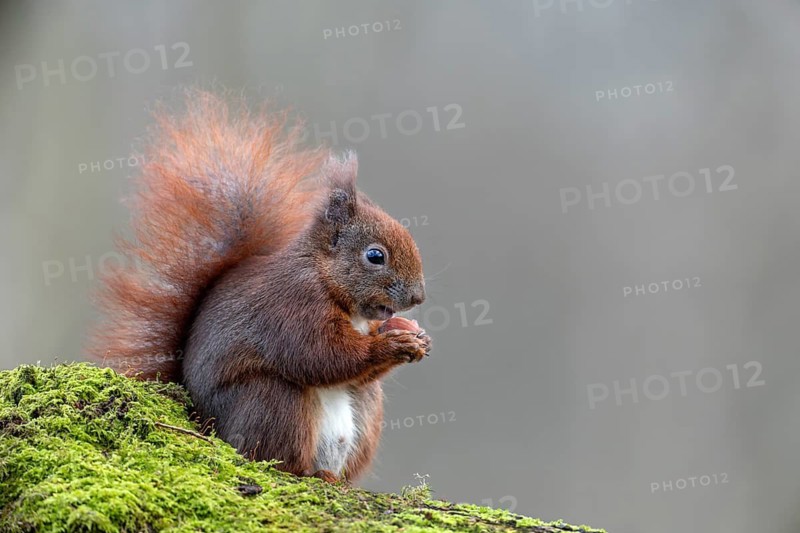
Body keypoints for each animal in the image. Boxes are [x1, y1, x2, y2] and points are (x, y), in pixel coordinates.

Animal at [88, 90, 431, 483]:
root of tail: (206, 424)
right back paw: (310, 473)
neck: (325, 278)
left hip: (365, 408)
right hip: (271, 399)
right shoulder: (294, 306)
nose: (418, 297)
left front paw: (416, 338)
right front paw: (392, 344)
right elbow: (322, 356)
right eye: (375, 256)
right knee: (275, 455)